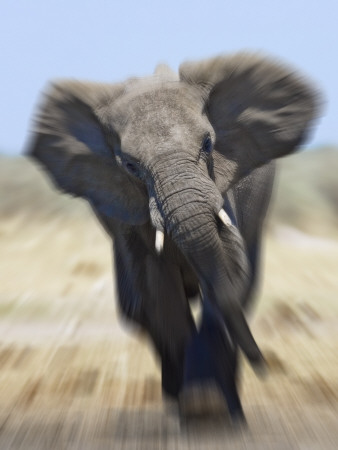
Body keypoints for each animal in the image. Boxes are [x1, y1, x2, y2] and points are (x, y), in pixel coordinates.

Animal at [26, 52, 320, 422]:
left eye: (208, 144)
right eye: (130, 166)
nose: (265, 367)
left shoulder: (225, 187)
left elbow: (228, 276)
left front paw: (210, 407)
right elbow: (157, 288)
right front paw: (199, 407)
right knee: (136, 308)